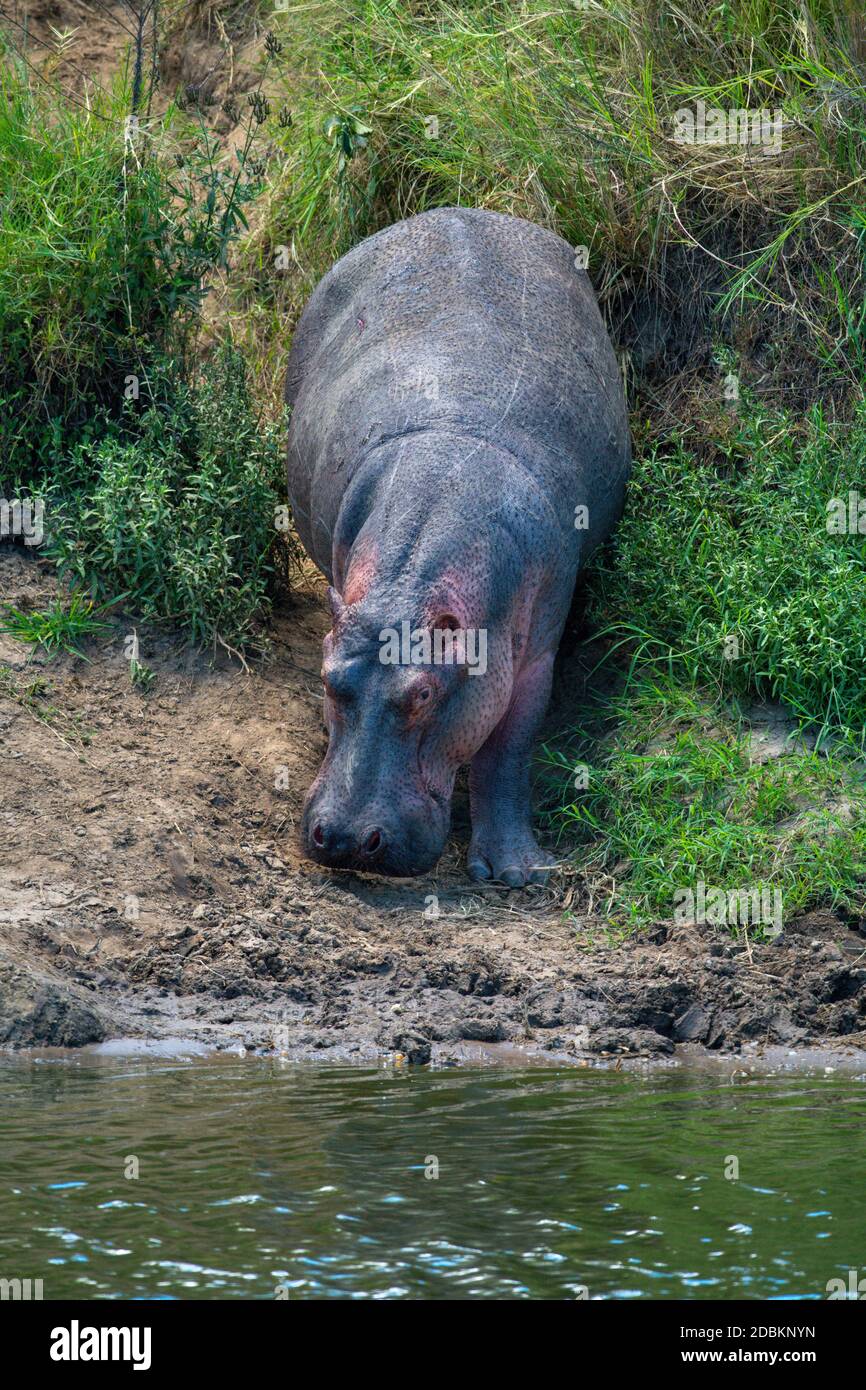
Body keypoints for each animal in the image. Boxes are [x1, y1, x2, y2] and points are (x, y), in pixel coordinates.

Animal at [284, 205, 631, 884]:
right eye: (329, 679)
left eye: (423, 692)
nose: (344, 839)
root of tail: (461, 211)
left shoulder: (530, 656)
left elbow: (510, 748)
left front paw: (516, 872)